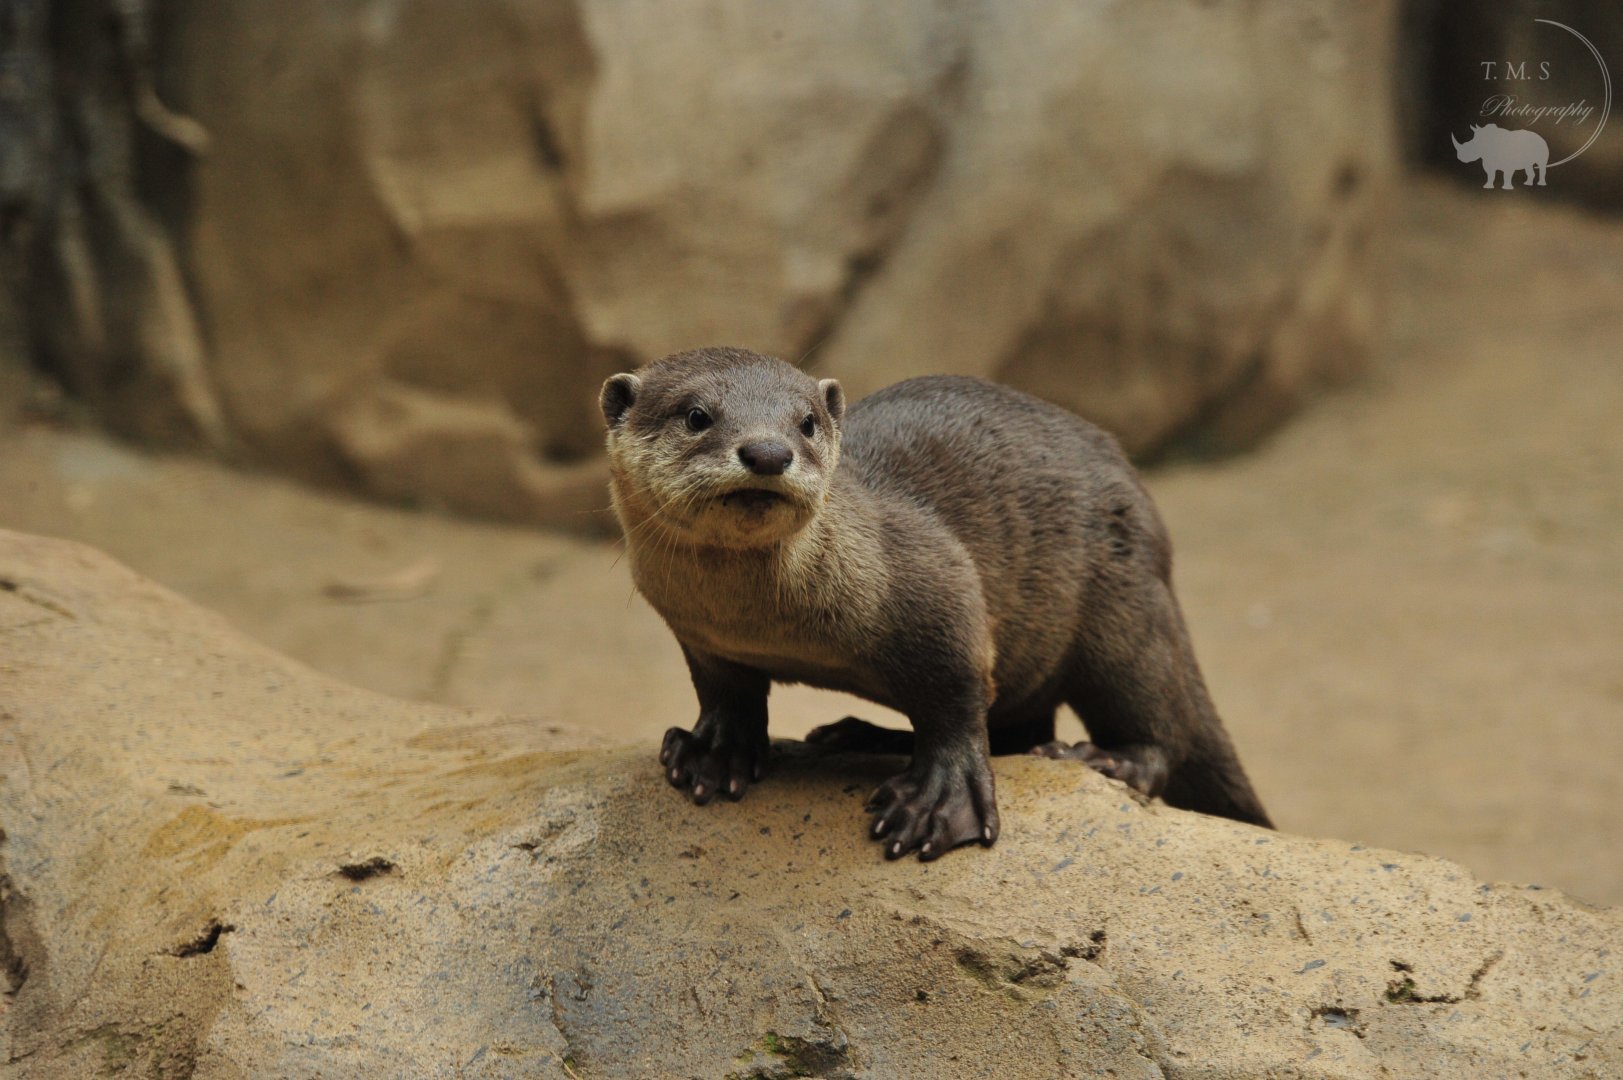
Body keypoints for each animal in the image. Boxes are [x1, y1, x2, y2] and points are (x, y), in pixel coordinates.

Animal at [600, 346, 1271, 861]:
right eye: (696, 415)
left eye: (807, 422)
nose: (768, 451)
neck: (761, 625)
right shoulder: (702, 637)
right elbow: (724, 693)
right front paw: (713, 753)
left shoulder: (936, 583)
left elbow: (957, 699)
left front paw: (939, 803)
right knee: (1019, 729)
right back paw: (855, 734)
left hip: (1123, 604)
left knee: (1157, 723)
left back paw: (1105, 759)